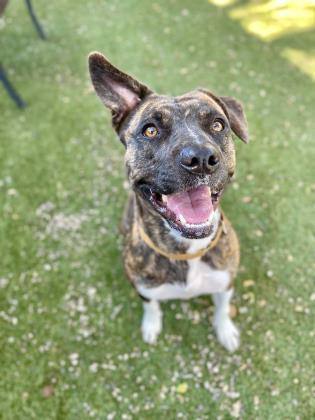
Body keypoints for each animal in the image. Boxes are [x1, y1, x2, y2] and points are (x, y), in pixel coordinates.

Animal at [88, 53, 249, 354]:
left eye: (218, 125)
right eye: (150, 130)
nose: (201, 158)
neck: (186, 251)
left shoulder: (226, 281)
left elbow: (222, 307)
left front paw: (226, 330)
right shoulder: (144, 288)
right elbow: (152, 306)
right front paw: (151, 326)